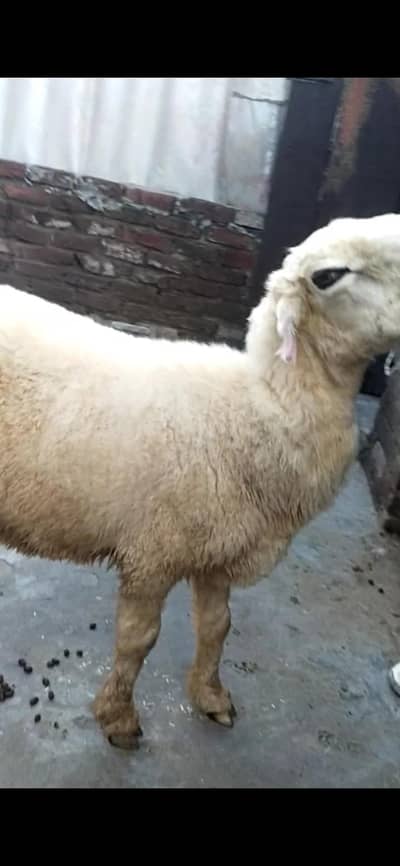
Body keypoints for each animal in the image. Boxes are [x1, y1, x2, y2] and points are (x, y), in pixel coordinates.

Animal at [1, 212, 400, 750]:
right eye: (328, 276)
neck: (258, 405)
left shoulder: (219, 550)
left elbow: (217, 627)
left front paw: (211, 697)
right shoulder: (154, 552)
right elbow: (138, 639)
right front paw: (118, 718)